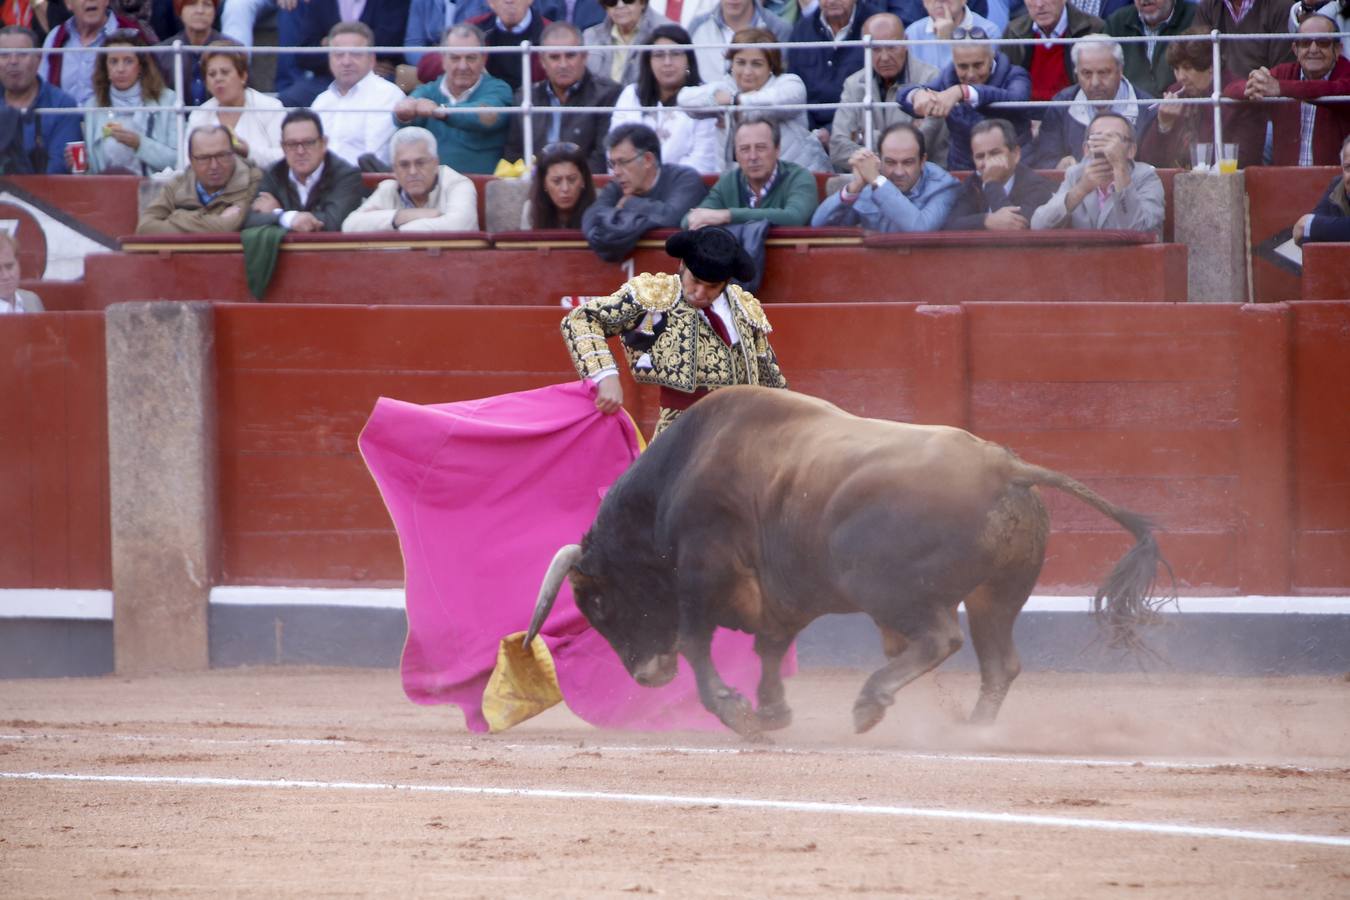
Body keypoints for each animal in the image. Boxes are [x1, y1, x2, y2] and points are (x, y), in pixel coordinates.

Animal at [526, 388, 1171, 739]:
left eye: (598, 601)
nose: (645, 676)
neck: (674, 483)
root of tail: (1003, 466)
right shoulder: (781, 595)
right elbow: (768, 648)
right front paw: (772, 711)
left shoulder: (702, 572)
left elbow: (696, 644)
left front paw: (739, 715)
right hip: (997, 595)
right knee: (999, 662)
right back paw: (973, 729)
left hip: (891, 589)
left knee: (940, 639)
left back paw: (870, 703)